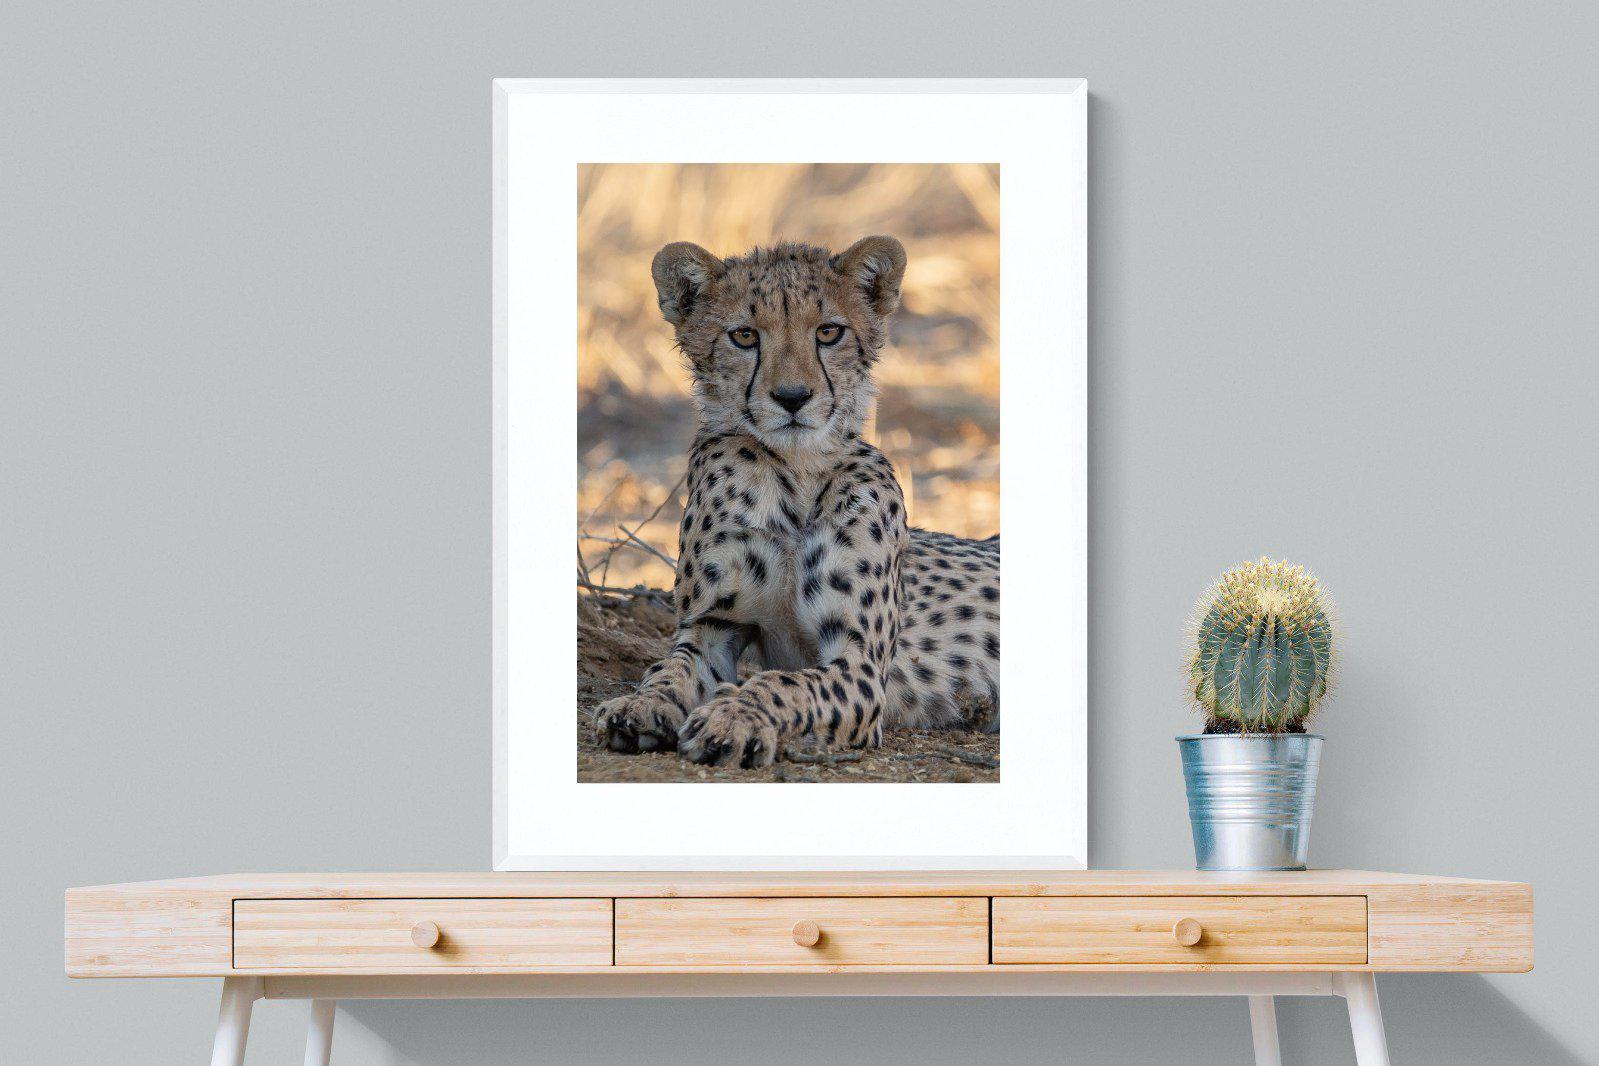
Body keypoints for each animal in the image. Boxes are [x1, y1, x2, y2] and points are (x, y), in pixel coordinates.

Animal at [592, 235, 999, 769]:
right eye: (744, 336)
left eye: (828, 332)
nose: (792, 397)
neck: (796, 474)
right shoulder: (712, 628)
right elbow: (669, 669)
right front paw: (639, 706)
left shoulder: (860, 663)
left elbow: (783, 683)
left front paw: (733, 718)